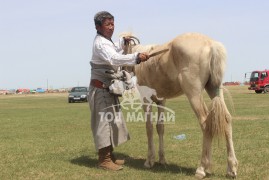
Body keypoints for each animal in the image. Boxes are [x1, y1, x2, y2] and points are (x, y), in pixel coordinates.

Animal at [122, 32, 238, 179]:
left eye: (122, 50)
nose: (122, 74)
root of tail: (211, 44)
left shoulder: (146, 100)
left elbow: (149, 128)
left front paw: (149, 160)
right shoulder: (161, 101)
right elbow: (160, 127)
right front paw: (162, 159)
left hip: (193, 92)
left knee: (205, 122)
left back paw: (202, 168)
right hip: (214, 89)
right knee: (226, 119)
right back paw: (231, 168)